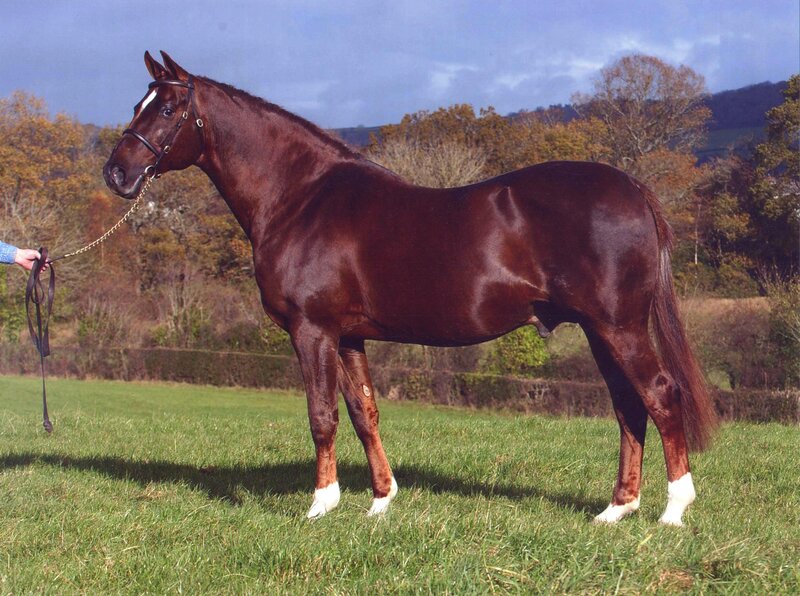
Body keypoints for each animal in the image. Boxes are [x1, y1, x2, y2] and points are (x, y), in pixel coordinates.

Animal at [103, 51, 717, 525]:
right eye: (137, 105)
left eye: (166, 108)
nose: (116, 173)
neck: (301, 197)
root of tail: (631, 187)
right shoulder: (348, 336)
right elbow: (363, 413)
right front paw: (380, 501)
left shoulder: (312, 329)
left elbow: (322, 415)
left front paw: (320, 505)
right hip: (599, 330)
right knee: (628, 407)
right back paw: (616, 509)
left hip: (619, 326)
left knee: (660, 395)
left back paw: (673, 510)